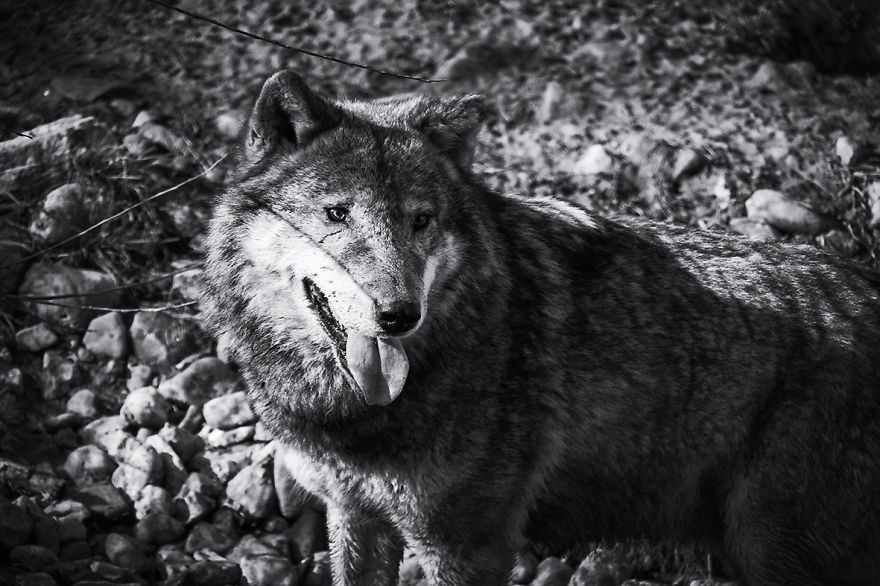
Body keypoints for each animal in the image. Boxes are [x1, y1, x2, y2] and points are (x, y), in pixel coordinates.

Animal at [202, 70, 880, 586]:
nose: (399, 315)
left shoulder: (464, 547)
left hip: (767, 546)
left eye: (422, 221)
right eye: (337, 214)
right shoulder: (353, 516)